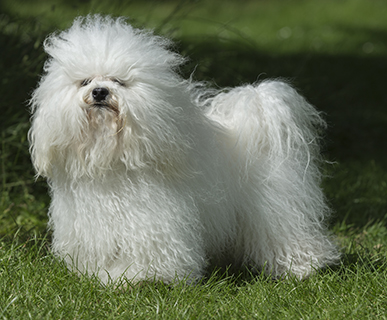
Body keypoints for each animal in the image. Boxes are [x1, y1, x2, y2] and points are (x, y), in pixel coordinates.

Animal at [28, 15, 340, 284]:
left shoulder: (154, 226)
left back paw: (302, 266)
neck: (112, 158)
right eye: (85, 81)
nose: (99, 92)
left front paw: (135, 278)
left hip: (278, 210)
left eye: (119, 81)